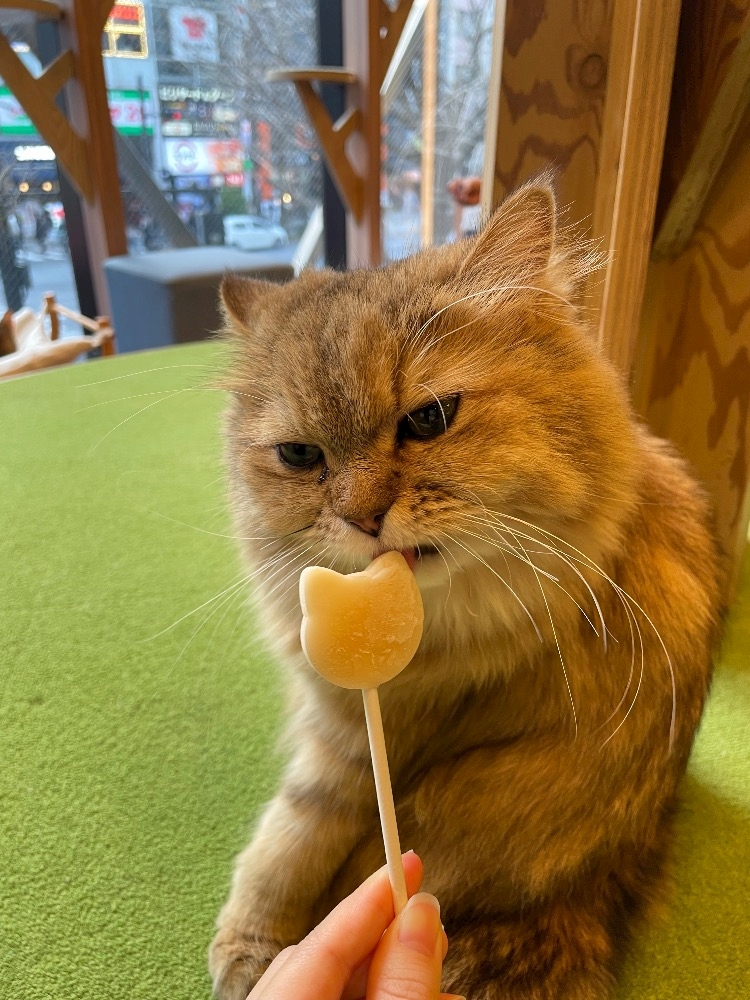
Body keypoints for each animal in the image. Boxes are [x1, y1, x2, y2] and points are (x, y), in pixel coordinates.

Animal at [209, 179, 721, 1000]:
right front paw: (251, 947)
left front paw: (251, 954)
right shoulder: (341, 715)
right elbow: (284, 839)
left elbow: (292, 832)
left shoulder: (358, 739)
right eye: (300, 457)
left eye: (429, 419)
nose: (362, 518)